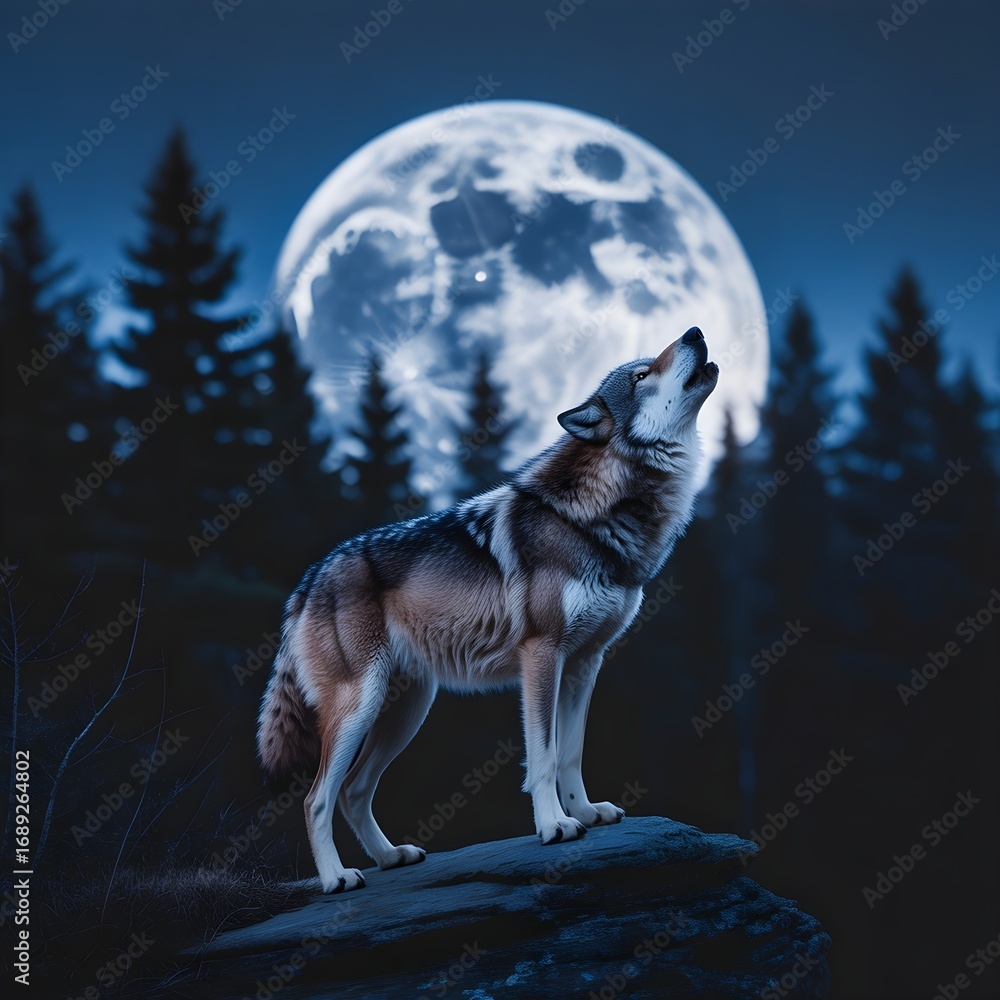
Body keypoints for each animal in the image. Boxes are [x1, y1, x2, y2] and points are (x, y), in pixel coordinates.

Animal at [258, 326, 718, 893]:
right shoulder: (541, 656)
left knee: (353, 790)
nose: (695, 331)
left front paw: (586, 813)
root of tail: (308, 579)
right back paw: (337, 878)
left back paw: (391, 857)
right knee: (316, 798)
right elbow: (543, 756)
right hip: (359, 707)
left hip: (408, 709)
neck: (597, 516)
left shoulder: (585, 663)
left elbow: (571, 753)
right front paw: (554, 826)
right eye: (641, 374)